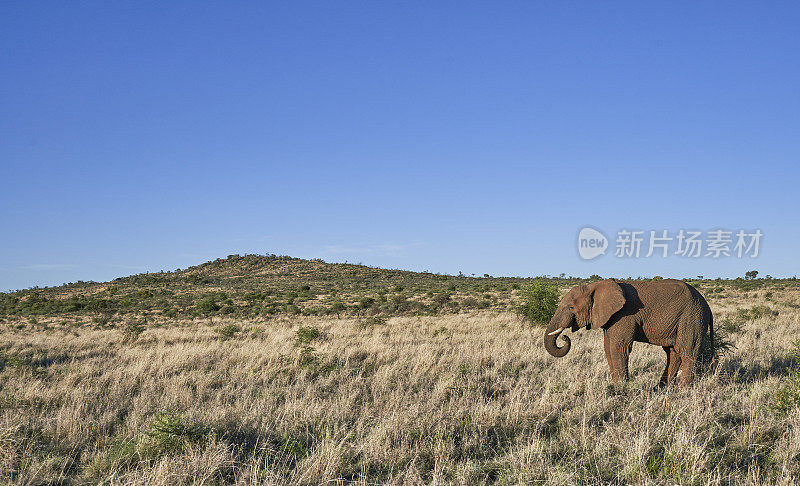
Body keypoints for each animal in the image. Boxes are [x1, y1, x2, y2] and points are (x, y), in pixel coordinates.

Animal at [544, 278, 712, 388]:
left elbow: (619, 347)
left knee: (687, 350)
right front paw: (616, 387)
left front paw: (621, 389)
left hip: (692, 317)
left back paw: (683, 390)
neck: (595, 286)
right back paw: (662, 389)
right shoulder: (611, 317)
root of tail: (707, 306)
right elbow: (608, 347)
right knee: (673, 352)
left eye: (571, 307)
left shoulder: (624, 315)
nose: (564, 337)